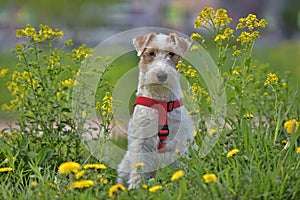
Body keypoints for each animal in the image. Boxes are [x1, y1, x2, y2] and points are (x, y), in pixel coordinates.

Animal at [116, 32, 193, 189]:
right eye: (151, 53)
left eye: (171, 54)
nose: (161, 75)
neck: (160, 100)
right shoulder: (141, 141)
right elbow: (138, 167)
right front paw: (136, 188)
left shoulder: (178, 141)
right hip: (124, 165)